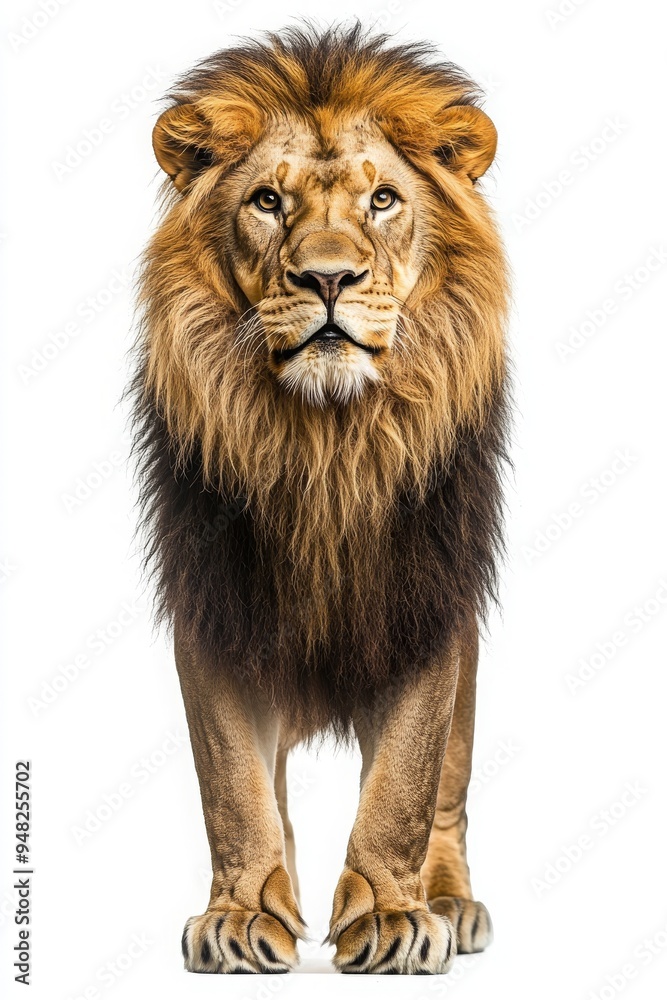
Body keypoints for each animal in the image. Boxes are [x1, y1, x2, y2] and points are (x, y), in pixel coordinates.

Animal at [131, 23, 510, 976]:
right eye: (268, 201)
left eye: (382, 200)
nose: (327, 278)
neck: (325, 444)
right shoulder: (215, 601)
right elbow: (232, 783)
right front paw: (240, 915)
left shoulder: (424, 598)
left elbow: (406, 780)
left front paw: (392, 916)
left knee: (447, 789)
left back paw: (449, 900)